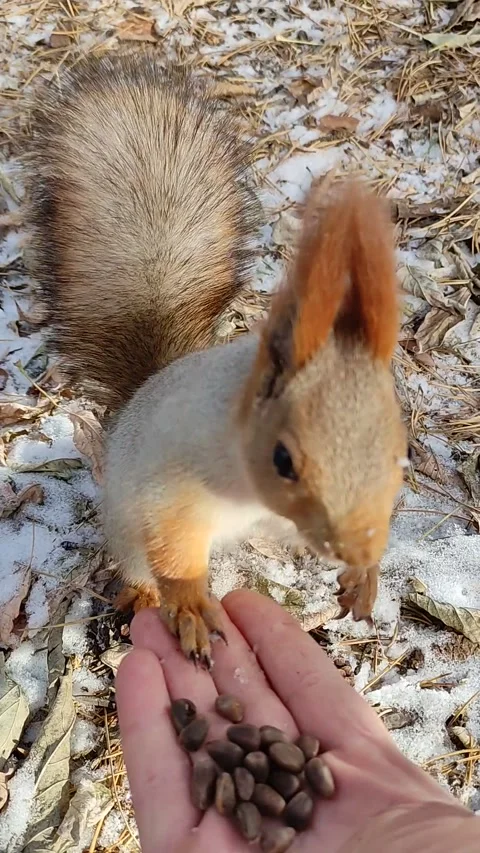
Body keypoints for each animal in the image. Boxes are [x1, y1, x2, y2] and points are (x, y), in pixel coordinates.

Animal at [26, 52, 407, 667]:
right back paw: (142, 596)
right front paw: (189, 608)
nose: (355, 548)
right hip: (126, 522)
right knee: (139, 563)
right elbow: (173, 545)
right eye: (282, 459)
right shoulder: (173, 482)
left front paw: (365, 577)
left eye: (404, 450)